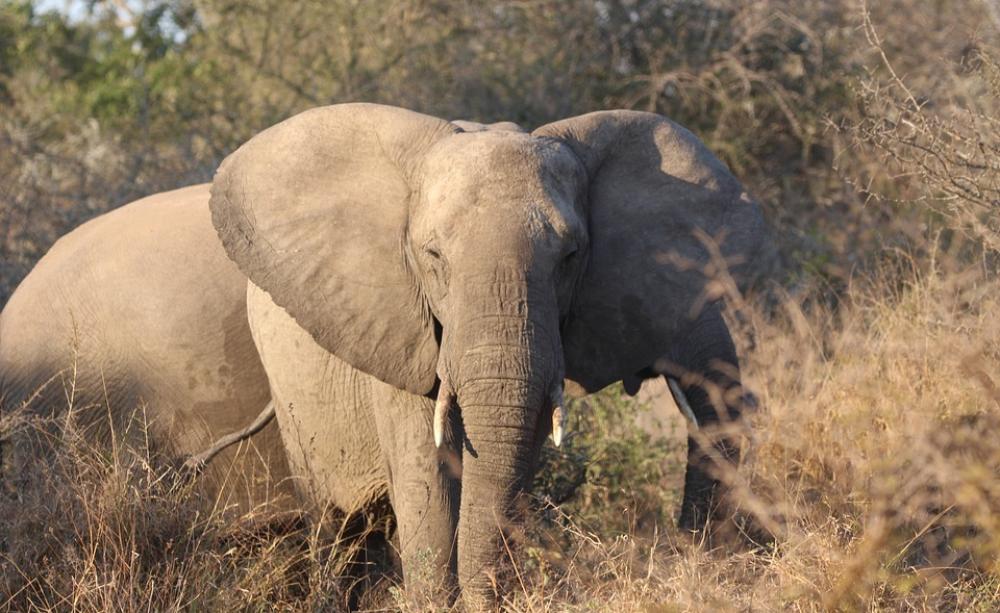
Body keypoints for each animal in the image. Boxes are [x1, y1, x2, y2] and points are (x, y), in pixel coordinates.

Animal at [209, 103, 767, 603]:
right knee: (332, 522)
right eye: (433, 256)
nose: (687, 551)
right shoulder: (398, 332)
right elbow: (427, 474)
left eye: (570, 257)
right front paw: (437, 601)